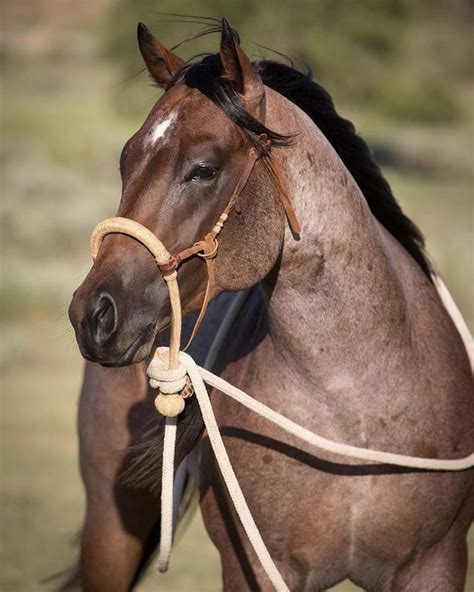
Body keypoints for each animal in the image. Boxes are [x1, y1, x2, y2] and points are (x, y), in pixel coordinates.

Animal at [67, 19, 474, 592]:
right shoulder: (255, 566)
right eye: (126, 161)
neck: (355, 405)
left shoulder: (436, 564)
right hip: (110, 529)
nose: (94, 314)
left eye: (204, 169)